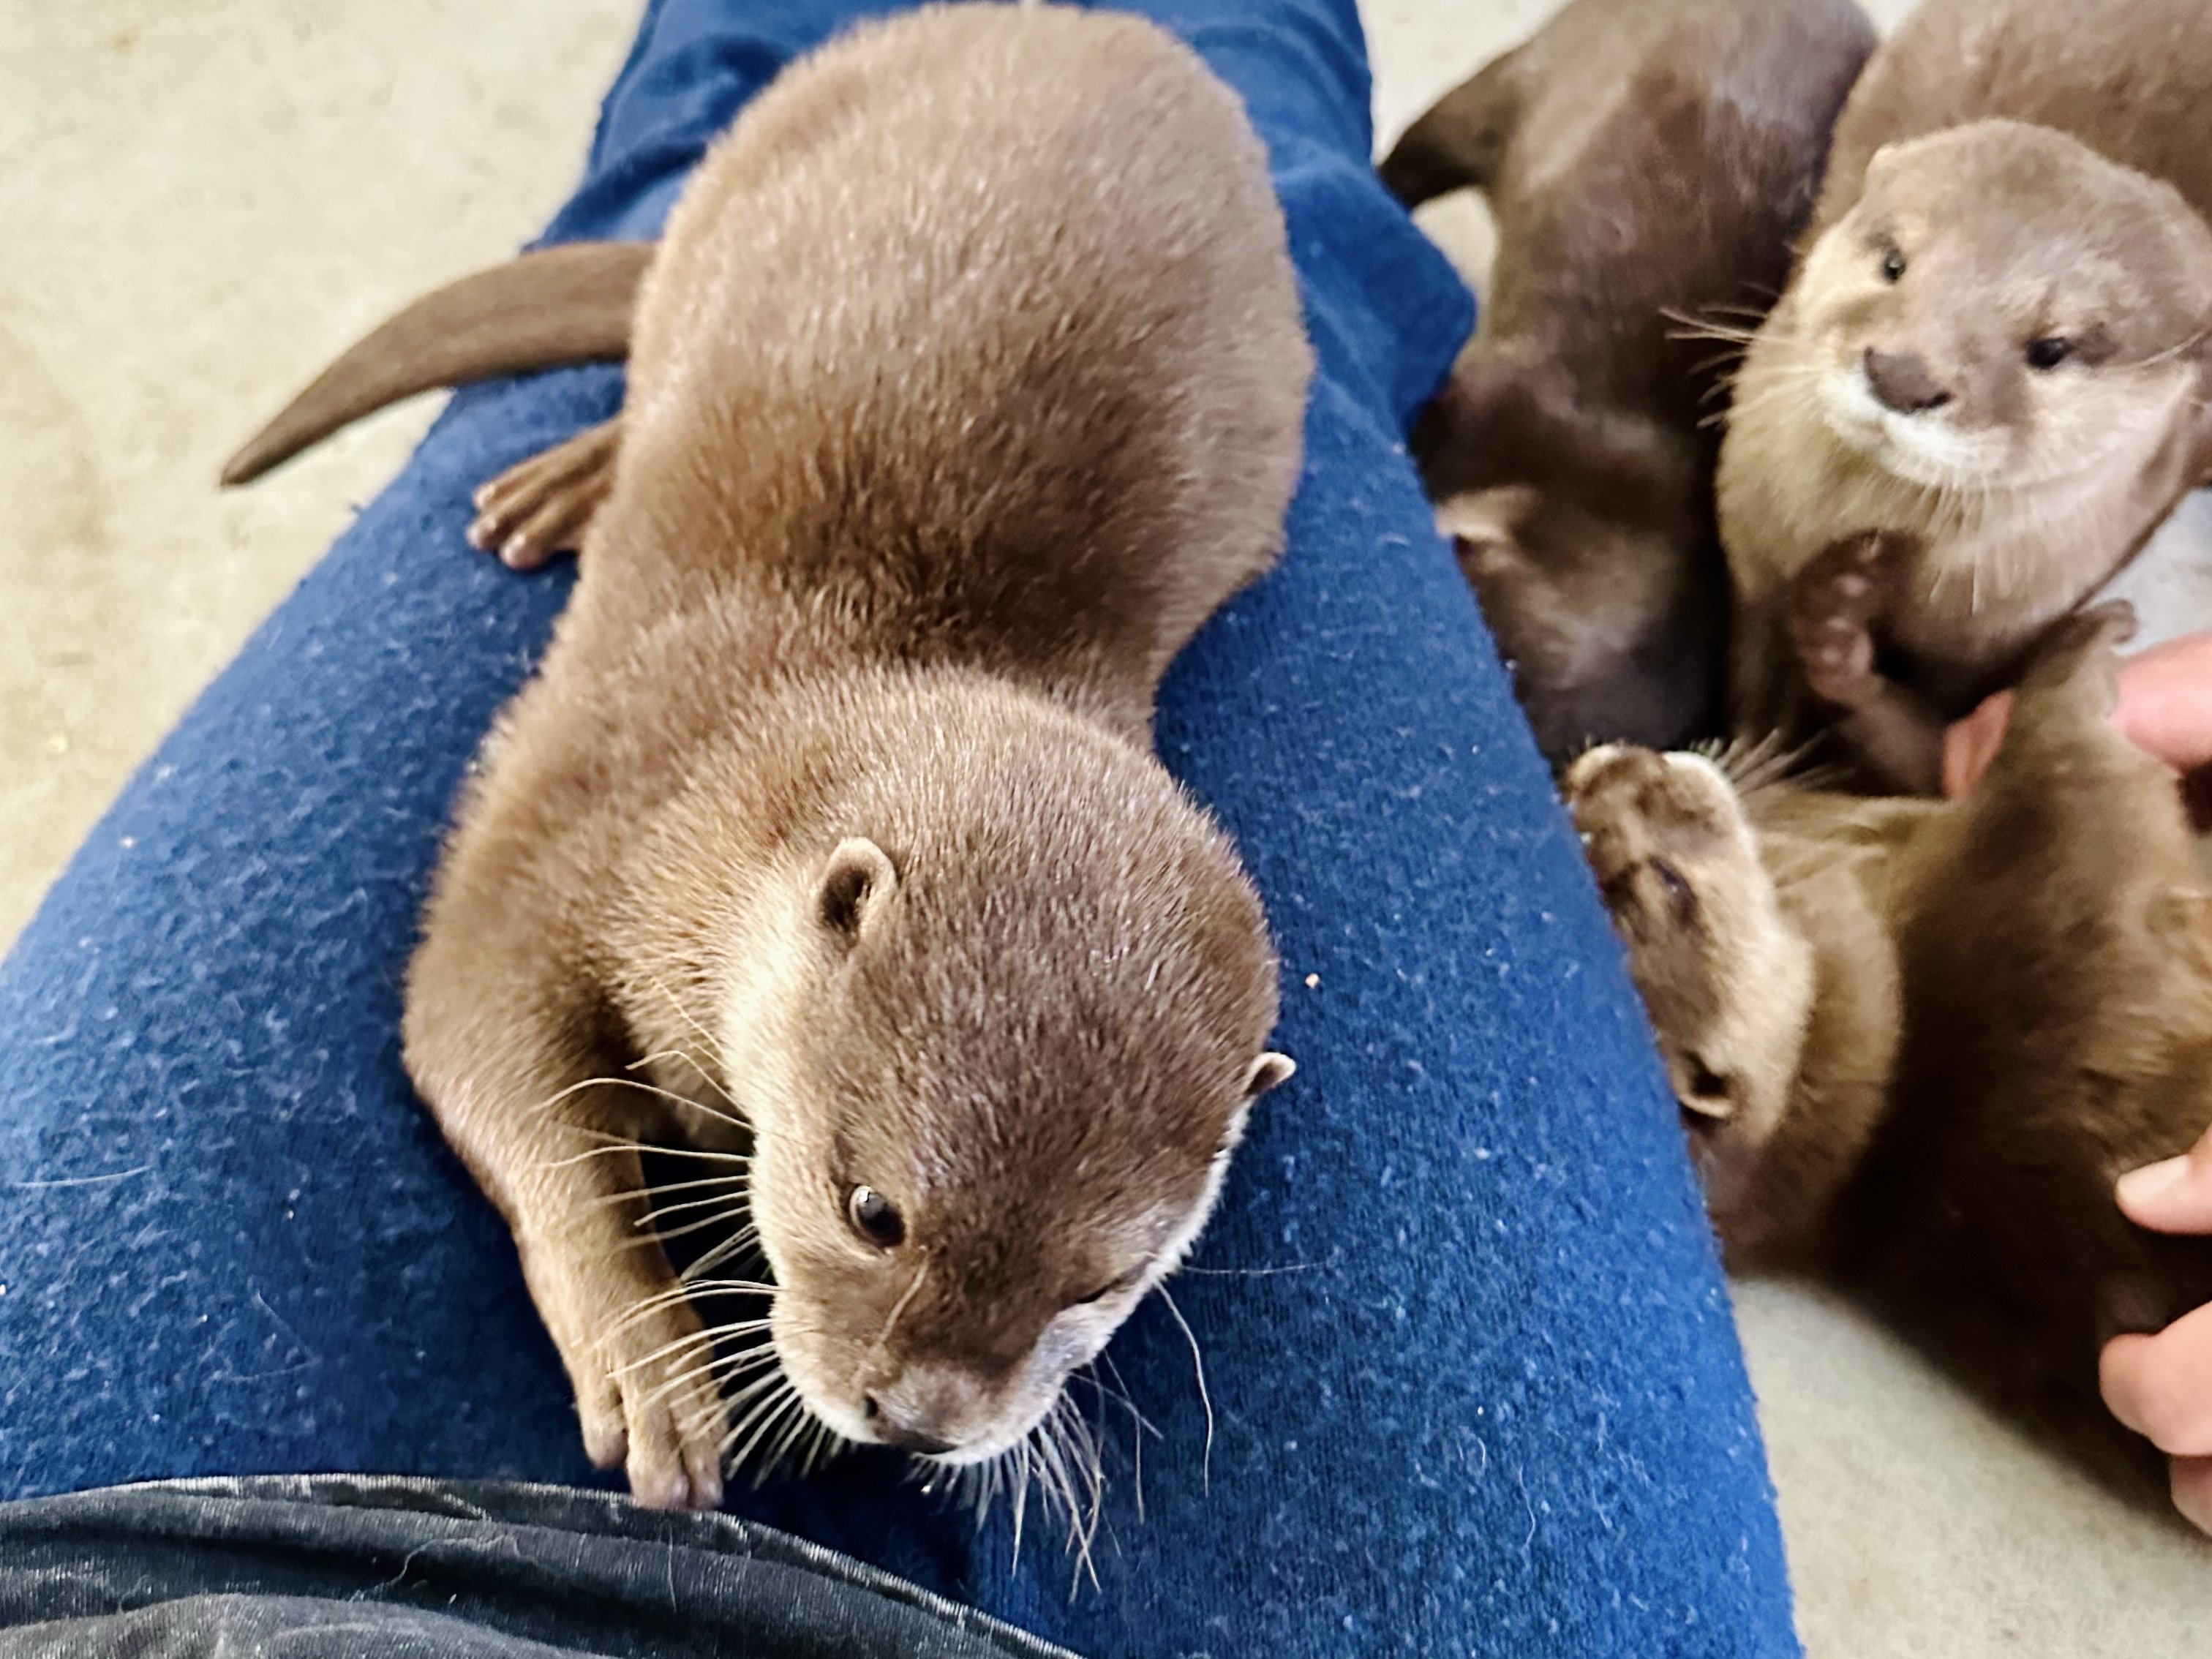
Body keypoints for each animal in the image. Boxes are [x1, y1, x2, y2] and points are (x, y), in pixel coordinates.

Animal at [222, 3, 1309, 1511]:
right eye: (873, 1207)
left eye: (1102, 1280)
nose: (920, 1417)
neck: (717, 788)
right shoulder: (571, 811)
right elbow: (483, 1051)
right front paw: (651, 1365)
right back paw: (569, 482)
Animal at [1564, 603, 2212, 1496]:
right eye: (1671, 885)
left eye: (1564, 799)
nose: (1626, 761)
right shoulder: (2064, 889)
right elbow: (2066, 759)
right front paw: (2080, 651)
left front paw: (1840, 654)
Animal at [1718, 0, 2212, 793]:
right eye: (1894, 262)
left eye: (2051, 348)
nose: (1901, 375)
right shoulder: (1752, 551)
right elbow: (1755, 670)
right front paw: (1752, 757)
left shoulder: (2003, 630)